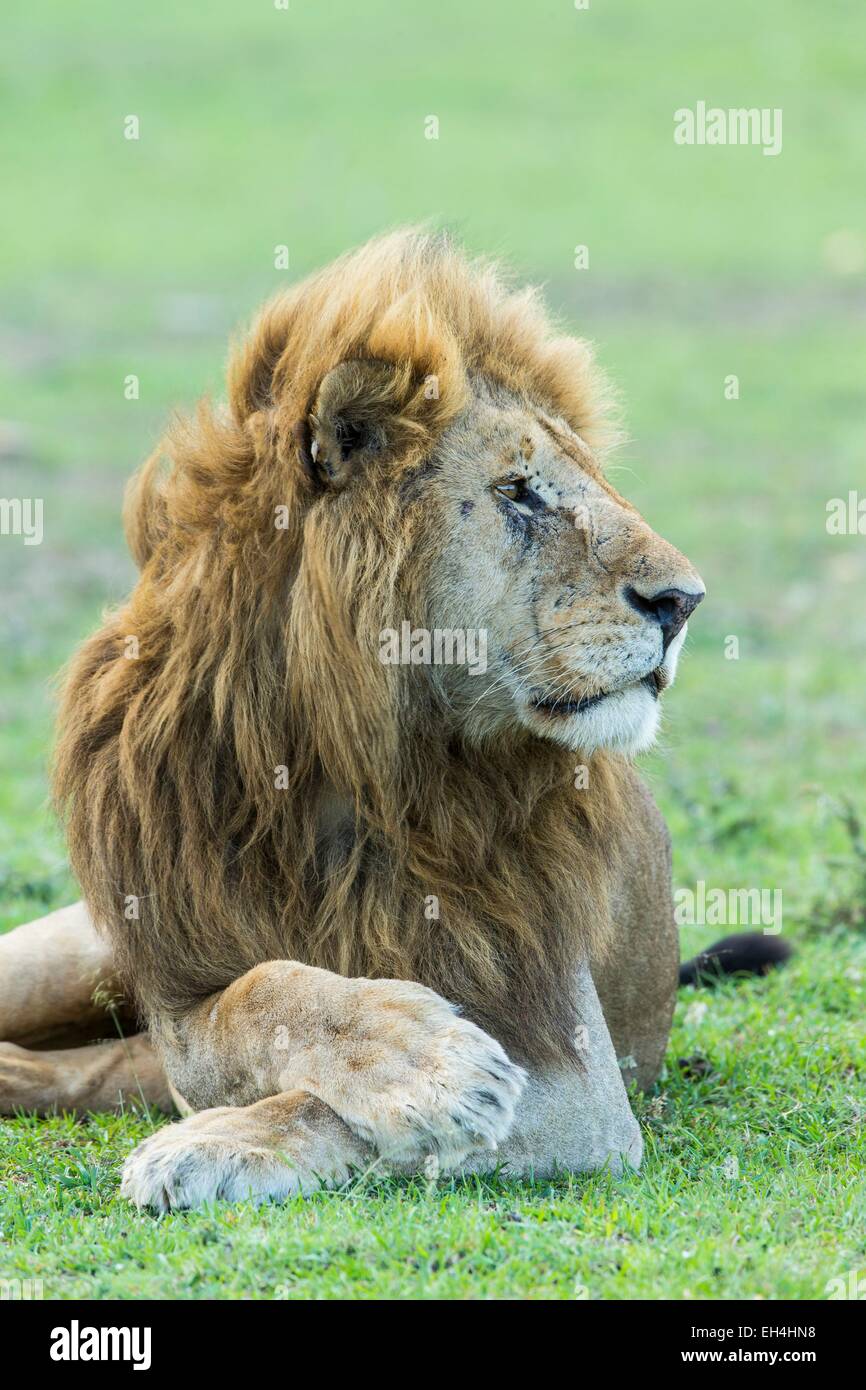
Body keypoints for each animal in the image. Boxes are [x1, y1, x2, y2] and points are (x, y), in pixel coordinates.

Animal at [0, 230, 705, 1208]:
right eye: (518, 491)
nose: (685, 601)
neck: (337, 759)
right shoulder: (179, 974)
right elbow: (255, 995)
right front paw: (418, 1052)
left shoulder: (574, 1077)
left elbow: (339, 1111)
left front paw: (218, 1139)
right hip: (64, 955)